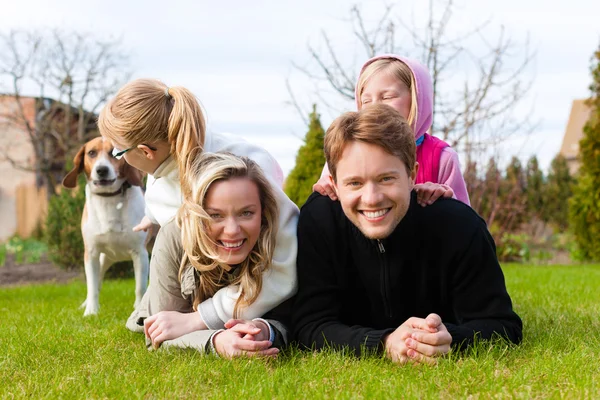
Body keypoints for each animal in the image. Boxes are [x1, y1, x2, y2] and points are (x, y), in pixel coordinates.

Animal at [63, 137, 150, 316]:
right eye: (91, 153)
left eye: (114, 153)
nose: (101, 170)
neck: (109, 199)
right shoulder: (91, 254)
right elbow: (92, 286)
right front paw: (91, 311)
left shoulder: (140, 253)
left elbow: (140, 287)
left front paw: (138, 309)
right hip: (104, 259)